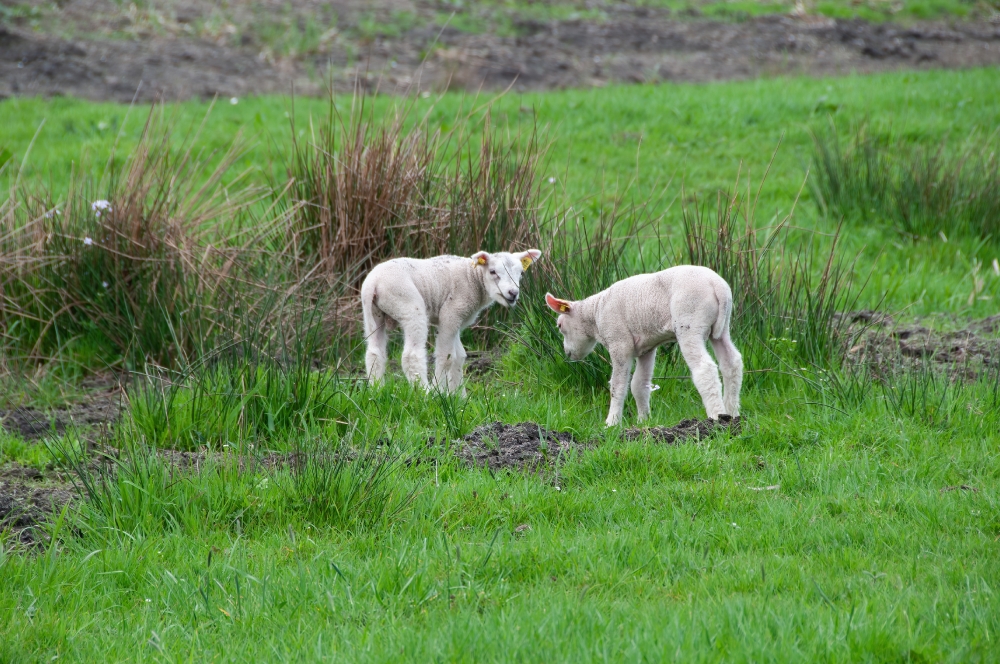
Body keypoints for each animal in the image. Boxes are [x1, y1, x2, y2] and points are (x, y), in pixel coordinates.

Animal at [364, 249, 544, 394]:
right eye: (493, 271)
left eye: (521, 273)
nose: (513, 293)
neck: (473, 277)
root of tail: (374, 282)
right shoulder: (451, 314)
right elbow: (446, 356)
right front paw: (439, 391)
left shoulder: (457, 319)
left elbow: (459, 356)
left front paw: (458, 396)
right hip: (408, 304)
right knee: (411, 355)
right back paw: (425, 393)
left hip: (373, 313)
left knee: (374, 352)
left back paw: (376, 390)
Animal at [548, 264, 744, 426]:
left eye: (559, 325)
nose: (568, 353)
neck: (595, 313)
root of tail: (717, 285)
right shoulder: (646, 347)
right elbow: (639, 384)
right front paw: (643, 420)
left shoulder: (620, 343)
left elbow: (618, 385)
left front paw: (612, 422)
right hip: (721, 328)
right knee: (731, 363)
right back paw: (732, 414)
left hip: (690, 322)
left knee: (705, 369)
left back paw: (716, 416)